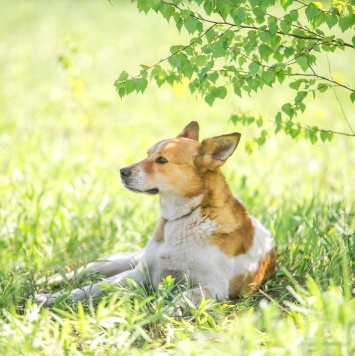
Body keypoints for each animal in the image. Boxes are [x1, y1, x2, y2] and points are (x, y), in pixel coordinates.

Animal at [36, 121, 276, 306]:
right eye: (148, 154)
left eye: (162, 160)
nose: (122, 171)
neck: (186, 217)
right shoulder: (139, 273)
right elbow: (92, 288)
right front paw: (52, 297)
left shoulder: (213, 288)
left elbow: (181, 300)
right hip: (131, 259)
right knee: (96, 266)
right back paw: (51, 280)